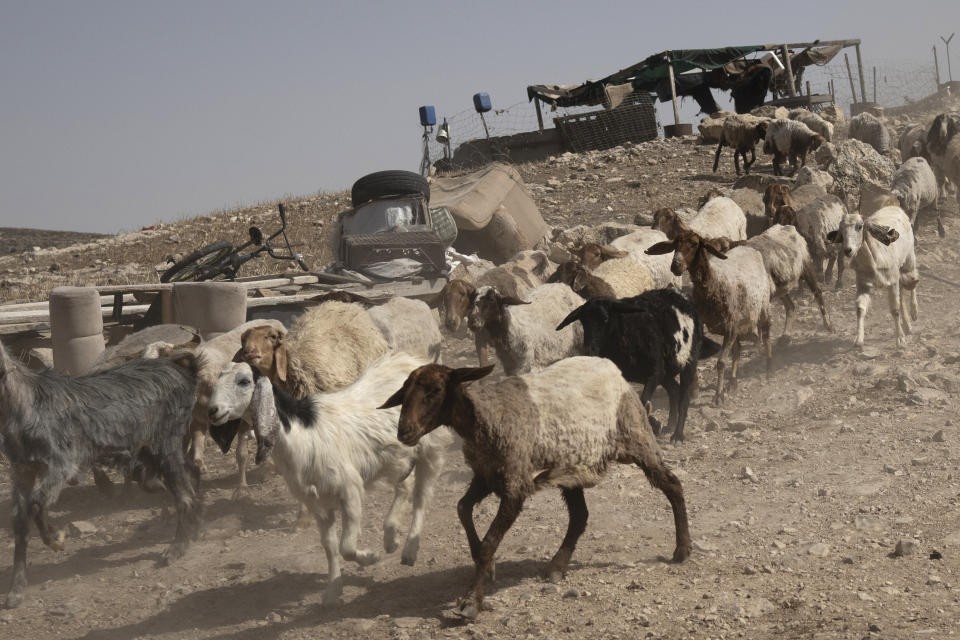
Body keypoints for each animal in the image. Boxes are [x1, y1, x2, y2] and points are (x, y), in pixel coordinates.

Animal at [0, 338, 202, 608]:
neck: (23, 402)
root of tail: (181, 370)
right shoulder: (22, 470)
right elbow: (20, 522)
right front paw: (16, 588)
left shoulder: (61, 463)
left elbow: (36, 503)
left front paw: (55, 539)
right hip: (151, 449)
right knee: (188, 473)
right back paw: (196, 523)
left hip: (165, 443)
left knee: (184, 495)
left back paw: (177, 547)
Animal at [208, 350, 448, 604]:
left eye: (244, 381)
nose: (212, 411)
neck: (302, 433)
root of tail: (415, 362)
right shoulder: (316, 503)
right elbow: (330, 546)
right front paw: (333, 591)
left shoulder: (349, 490)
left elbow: (347, 547)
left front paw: (370, 557)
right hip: (394, 457)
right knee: (405, 485)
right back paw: (391, 537)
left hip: (430, 449)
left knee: (421, 498)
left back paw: (409, 550)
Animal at [380, 356, 688, 620]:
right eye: (404, 393)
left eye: (434, 390)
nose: (404, 432)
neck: (486, 416)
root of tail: (612, 367)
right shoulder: (486, 476)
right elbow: (462, 508)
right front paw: (487, 568)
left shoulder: (515, 485)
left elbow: (489, 542)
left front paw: (471, 602)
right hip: (571, 467)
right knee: (580, 516)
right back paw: (556, 567)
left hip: (636, 436)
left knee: (673, 485)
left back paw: (682, 550)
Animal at [556, 288, 720, 442]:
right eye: (583, 322)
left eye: (605, 318)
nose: (589, 349)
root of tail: (681, 295)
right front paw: (654, 424)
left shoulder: (654, 373)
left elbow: (643, 400)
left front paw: (654, 424)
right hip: (665, 372)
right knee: (674, 389)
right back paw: (669, 426)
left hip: (688, 361)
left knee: (683, 397)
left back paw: (677, 435)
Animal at [824, 206, 924, 348]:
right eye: (841, 228)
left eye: (860, 226)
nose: (848, 250)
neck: (874, 260)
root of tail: (895, 207)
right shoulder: (863, 284)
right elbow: (860, 309)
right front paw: (859, 339)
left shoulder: (892, 281)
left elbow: (895, 310)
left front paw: (900, 340)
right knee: (903, 292)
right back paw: (907, 325)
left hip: (909, 259)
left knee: (914, 279)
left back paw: (914, 311)